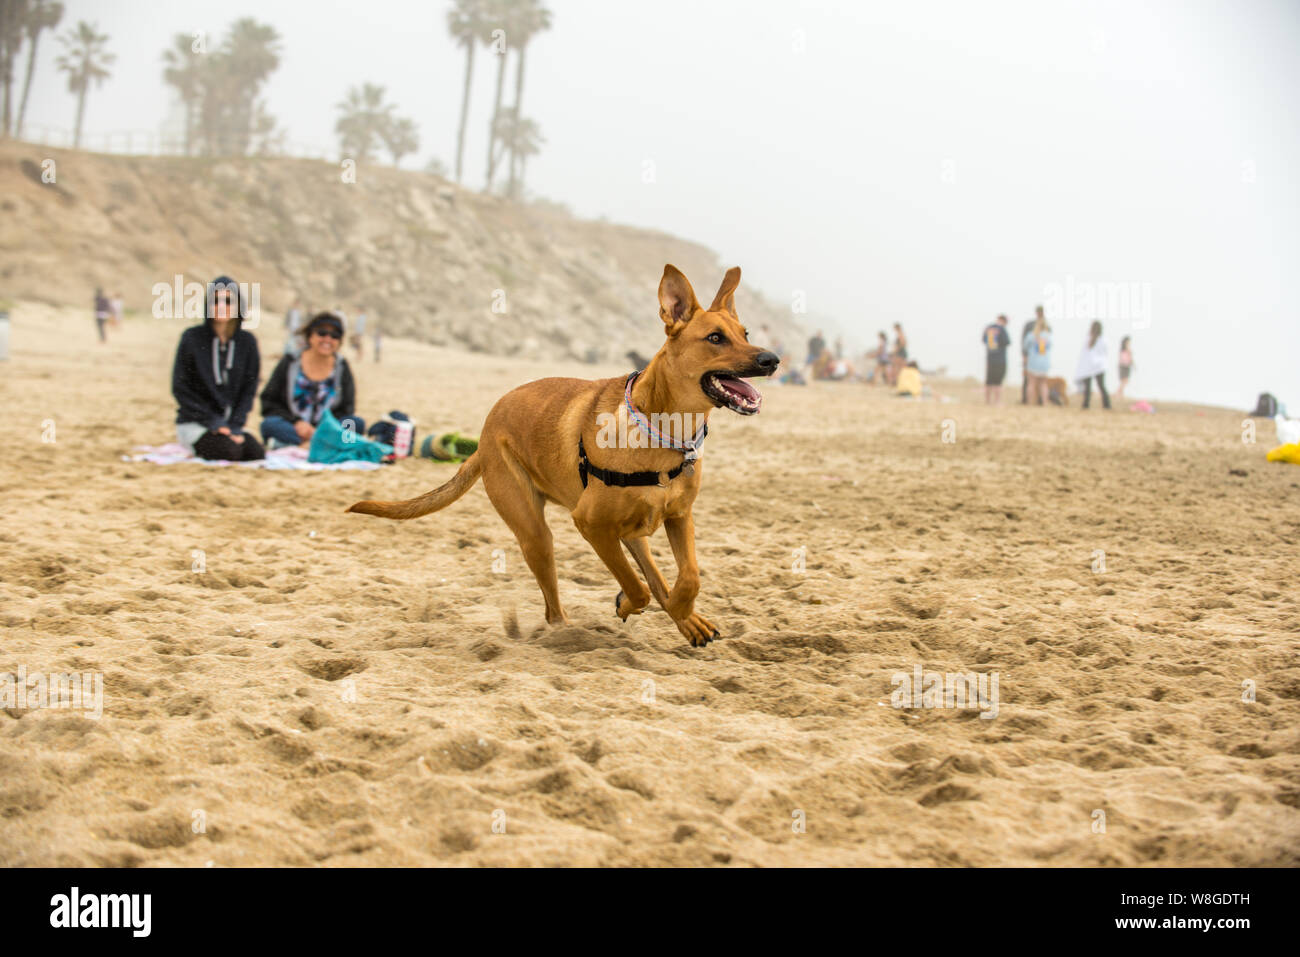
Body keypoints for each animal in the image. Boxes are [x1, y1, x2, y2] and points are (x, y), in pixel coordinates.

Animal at [345, 265, 774, 647]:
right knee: (556, 605)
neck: (664, 429)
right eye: (715, 338)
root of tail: (483, 438)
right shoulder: (590, 525)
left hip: (631, 530)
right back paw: (566, 631)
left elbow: (688, 576)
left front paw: (684, 612)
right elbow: (637, 587)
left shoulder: (678, 516)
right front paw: (629, 605)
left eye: (745, 334)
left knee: (652, 574)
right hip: (536, 534)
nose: (772, 359)